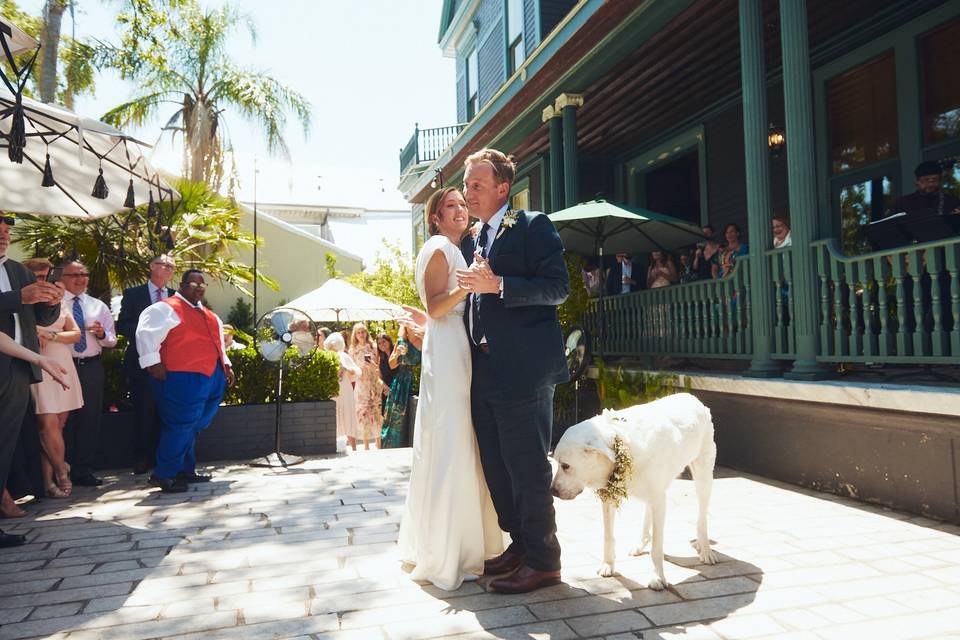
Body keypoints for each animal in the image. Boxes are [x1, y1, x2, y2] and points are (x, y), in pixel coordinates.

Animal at [552, 392, 716, 592]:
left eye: (565, 466)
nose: (552, 491)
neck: (622, 445)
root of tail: (692, 397)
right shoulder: (610, 499)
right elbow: (608, 536)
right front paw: (608, 565)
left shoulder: (659, 500)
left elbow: (657, 547)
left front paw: (657, 577)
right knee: (648, 513)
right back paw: (640, 543)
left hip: (703, 478)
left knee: (702, 518)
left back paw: (705, 550)